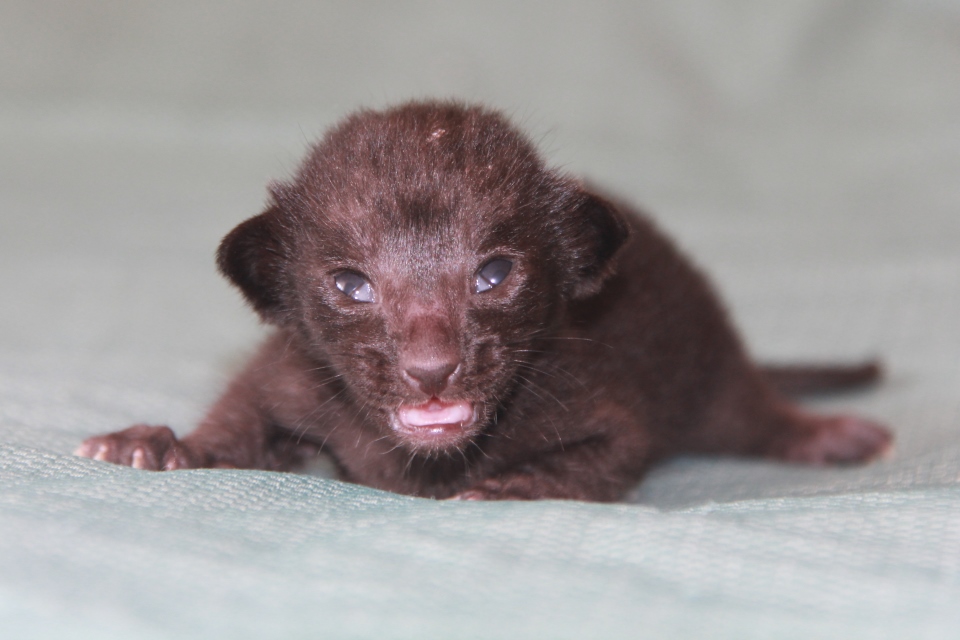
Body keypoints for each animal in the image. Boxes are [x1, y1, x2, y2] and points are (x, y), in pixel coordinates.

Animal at [77, 101, 892, 500]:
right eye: (351, 285)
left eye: (494, 274)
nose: (432, 369)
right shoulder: (285, 375)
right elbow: (235, 420)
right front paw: (159, 445)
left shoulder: (608, 407)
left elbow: (598, 464)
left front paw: (511, 488)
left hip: (711, 368)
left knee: (753, 412)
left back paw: (829, 435)